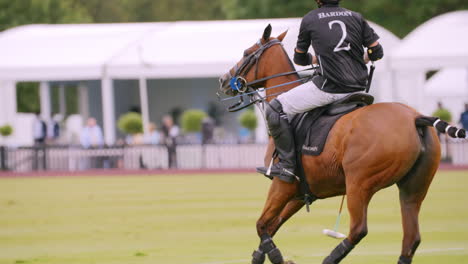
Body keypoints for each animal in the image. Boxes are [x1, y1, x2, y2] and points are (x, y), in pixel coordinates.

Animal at [218, 24, 466, 264]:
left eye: (246, 53)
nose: (223, 81)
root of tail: (415, 118)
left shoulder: (283, 183)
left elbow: (261, 224)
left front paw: (278, 257)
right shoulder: (303, 191)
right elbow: (272, 225)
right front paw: (260, 256)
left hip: (360, 182)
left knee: (358, 229)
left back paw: (329, 259)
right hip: (413, 188)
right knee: (411, 238)